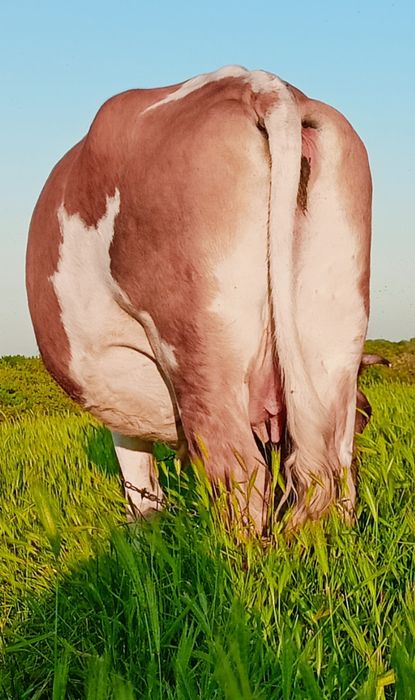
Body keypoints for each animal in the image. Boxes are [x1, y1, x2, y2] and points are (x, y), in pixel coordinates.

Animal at [26, 66, 372, 533]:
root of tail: (255, 83)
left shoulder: (121, 401)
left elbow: (140, 487)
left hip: (201, 354)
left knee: (240, 476)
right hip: (334, 348)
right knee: (335, 472)